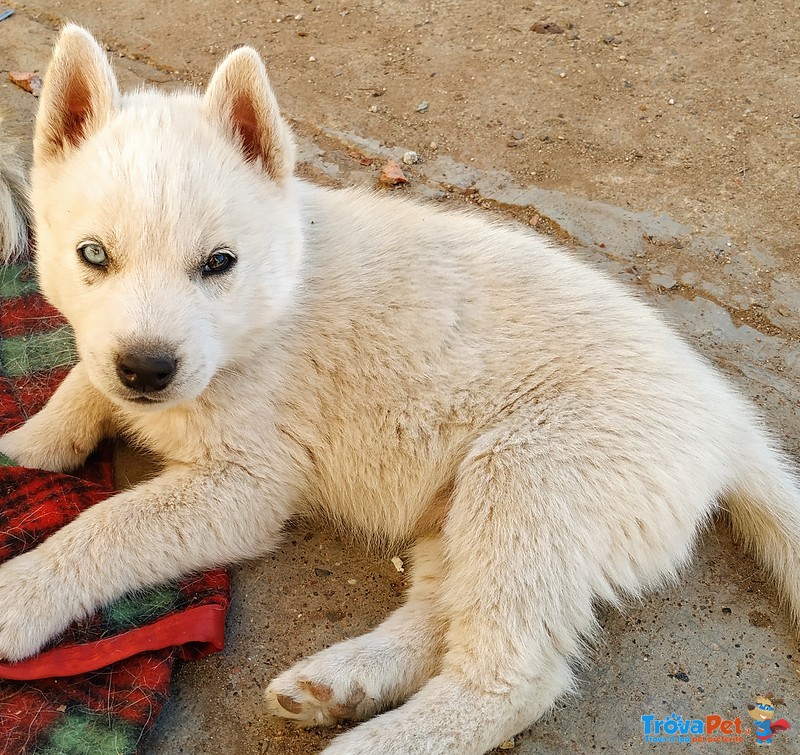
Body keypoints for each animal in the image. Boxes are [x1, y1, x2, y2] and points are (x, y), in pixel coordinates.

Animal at [1, 25, 800, 755]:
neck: (274, 301)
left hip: (533, 475)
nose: (147, 369)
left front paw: (20, 592)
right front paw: (30, 446)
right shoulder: (117, 365)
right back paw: (342, 682)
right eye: (93, 255)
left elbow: (106, 526)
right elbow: (82, 380)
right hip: (470, 509)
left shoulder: (243, 486)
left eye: (219, 263)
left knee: (514, 673)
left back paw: (382, 738)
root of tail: (726, 419)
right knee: (447, 611)